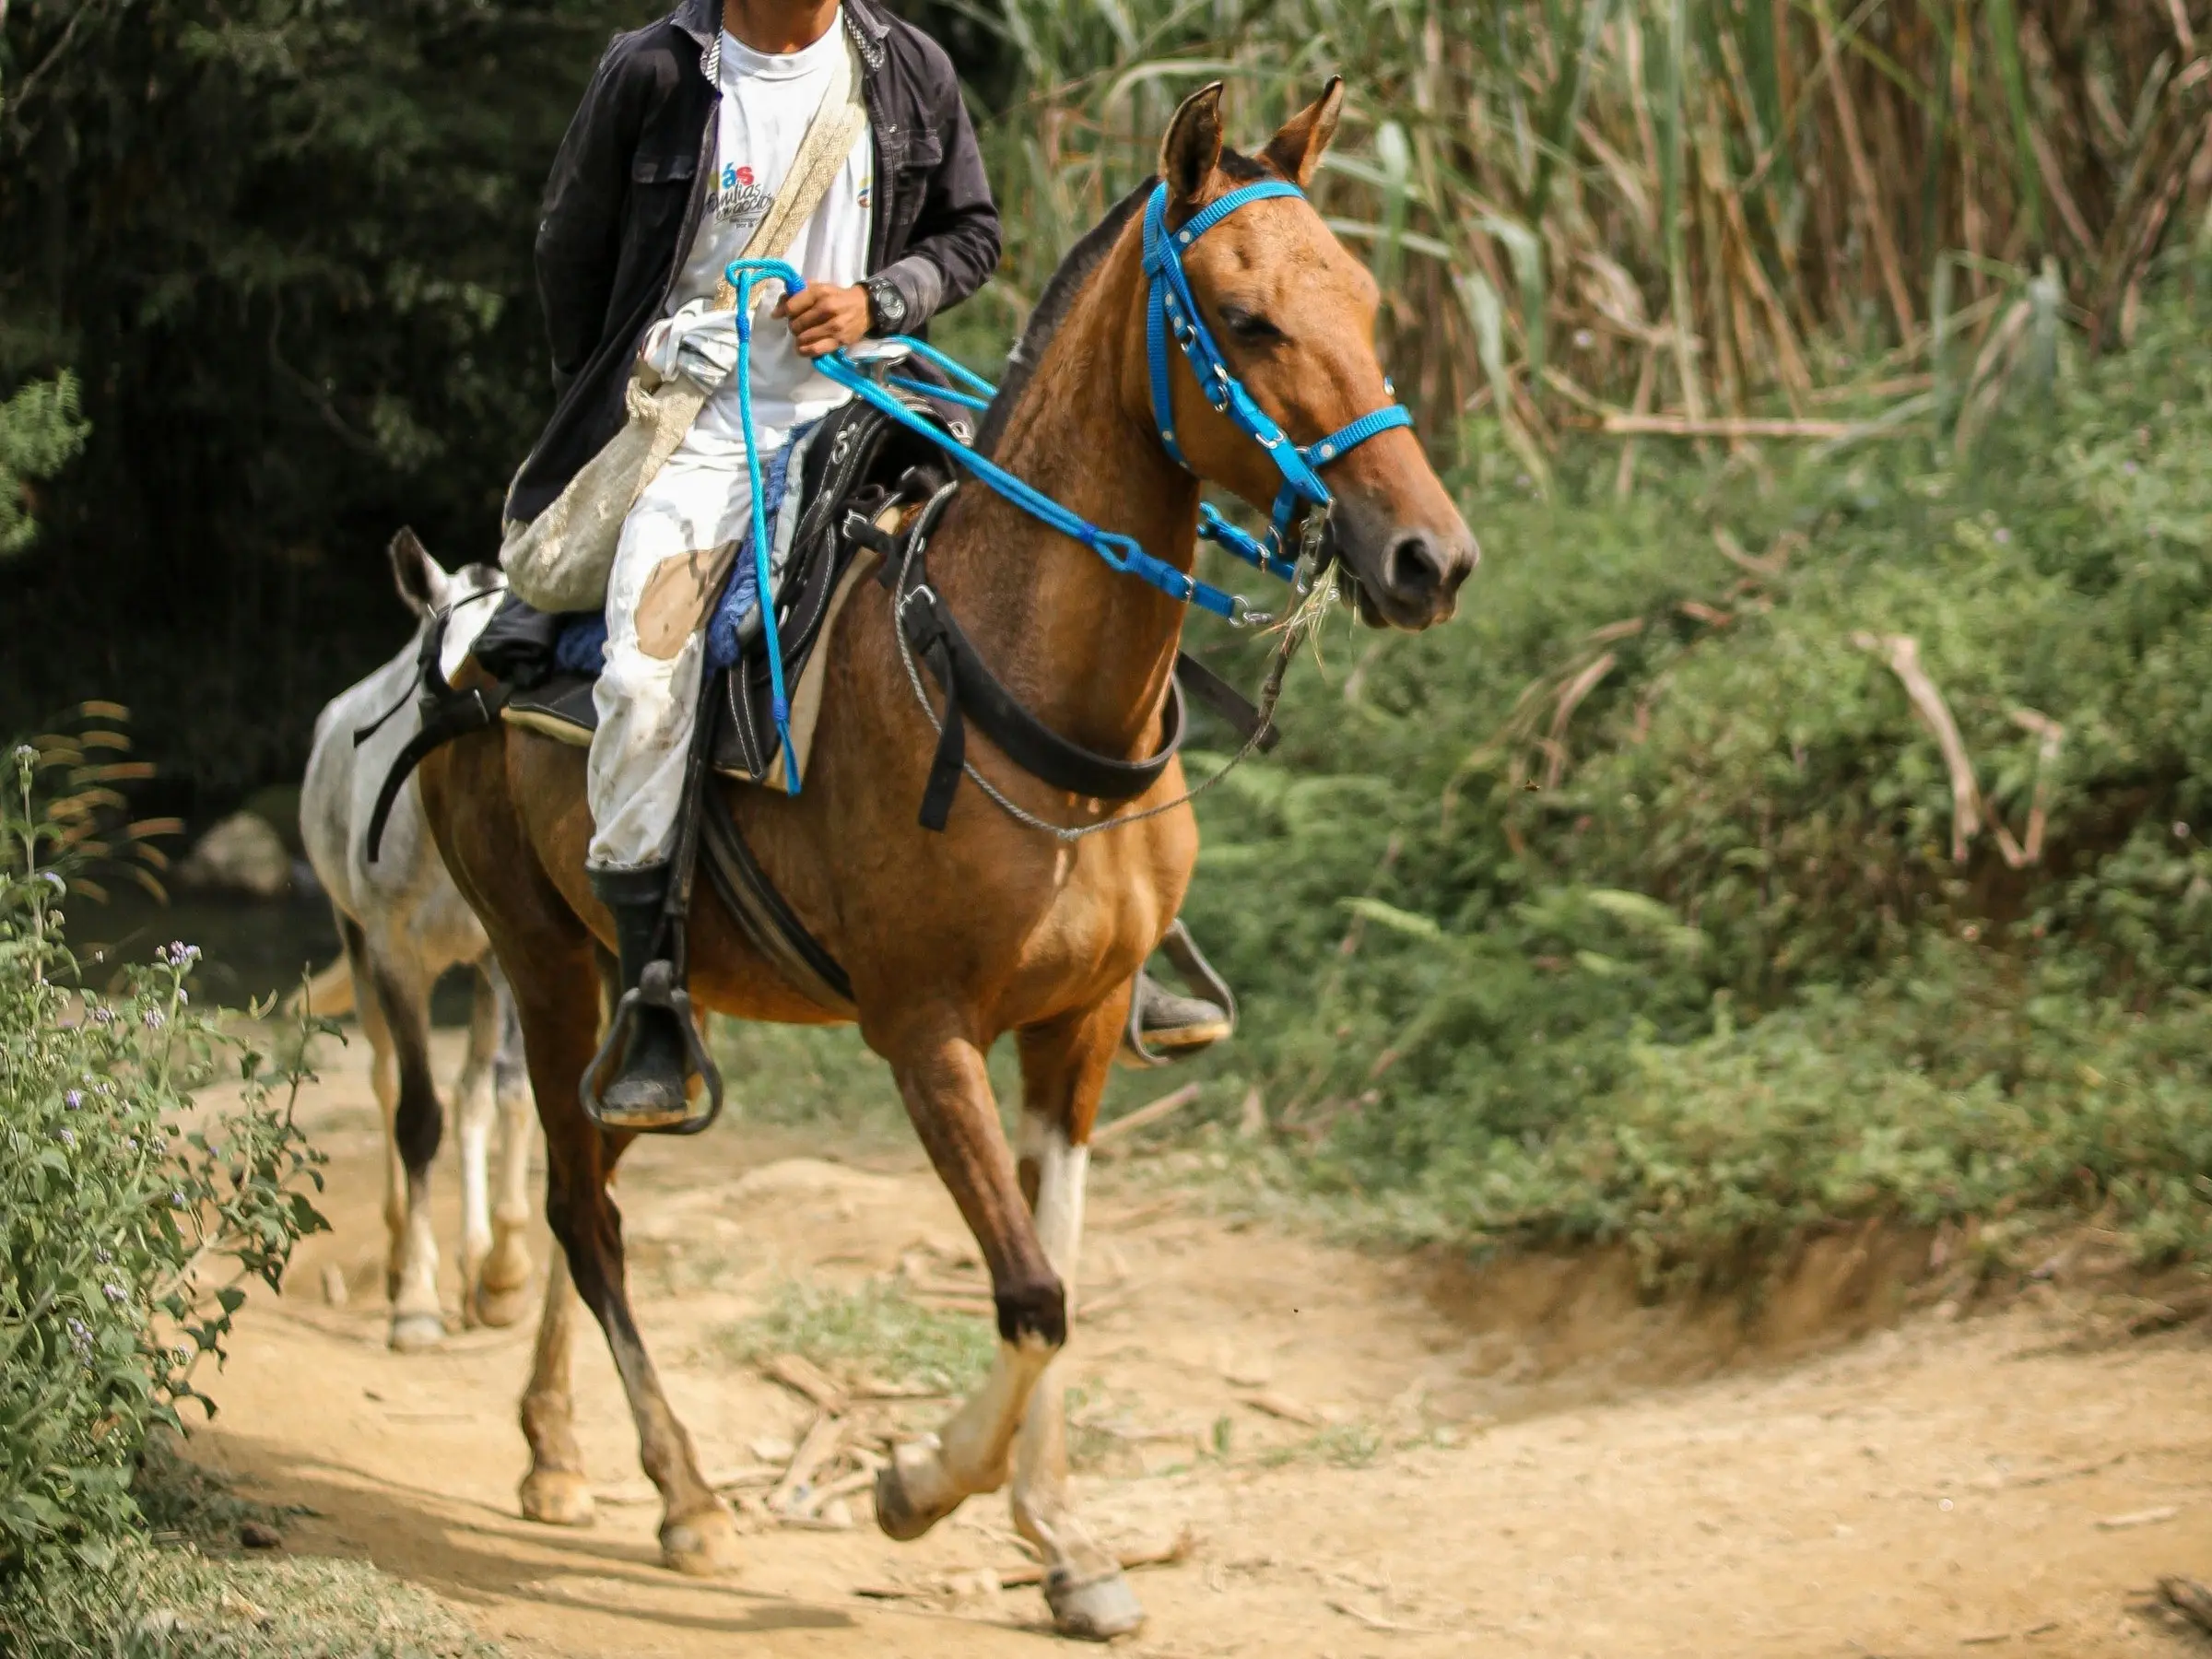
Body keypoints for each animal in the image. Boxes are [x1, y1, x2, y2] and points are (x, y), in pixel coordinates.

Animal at [300, 533, 537, 1353]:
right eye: (440, 673)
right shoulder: (396, 957)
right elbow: (416, 1117)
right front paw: (417, 1307)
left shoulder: (504, 957)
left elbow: (505, 1096)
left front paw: (502, 1278)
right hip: (361, 948)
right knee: (384, 1083)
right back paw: (407, 1258)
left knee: (470, 1097)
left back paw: (474, 1266)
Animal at [422, 84, 1477, 1645]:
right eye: (1245, 320)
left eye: (1361, 298)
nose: (1429, 559)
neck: (1012, 671)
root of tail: (462, 637)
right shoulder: (925, 1034)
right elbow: (1033, 1294)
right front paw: (919, 1487)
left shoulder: (1081, 1027)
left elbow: (1061, 1269)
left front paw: (1065, 1542)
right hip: (545, 961)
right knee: (580, 1212)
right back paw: (684, 1493)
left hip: (637, 1001)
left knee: (592, 1178)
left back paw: (559, 1451)